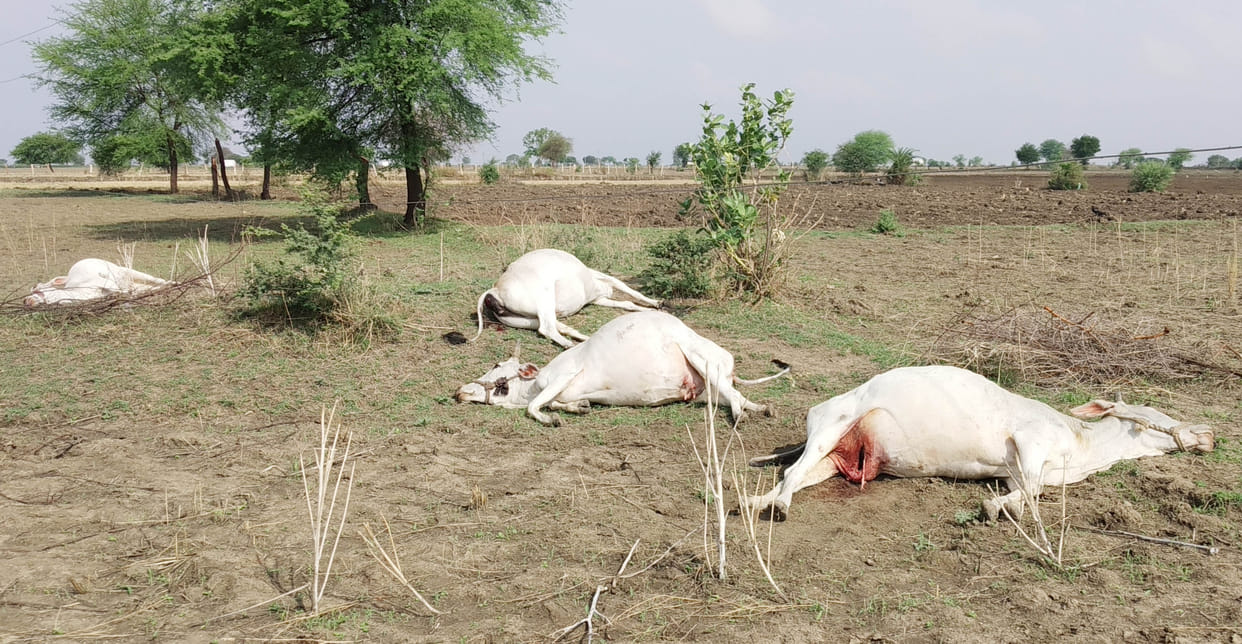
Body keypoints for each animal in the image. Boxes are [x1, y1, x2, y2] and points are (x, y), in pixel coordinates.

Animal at [24, 258, 170, 307]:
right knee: (149, 286)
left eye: (37, 288)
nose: (26, 300)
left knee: (159, 280)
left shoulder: (104, 281)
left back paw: (173, 282)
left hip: (129, 271)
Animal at [453, 248, 660, 348]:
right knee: (547, 329)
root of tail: (494, 291)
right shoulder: (600, 279)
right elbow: (628, 290)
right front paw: (657, 303)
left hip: (526, 319)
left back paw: (585, 339)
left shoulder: (597, 298)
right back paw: (569, 345)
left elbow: (627, 303)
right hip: (544, 300)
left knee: (556, 327)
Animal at [455, 310, 790, 426]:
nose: (460, 391)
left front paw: (551, 419)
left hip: (701, 360)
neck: (529, 386)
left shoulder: (563, 375)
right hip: (705, 390)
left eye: (498, 368)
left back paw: (740, 416)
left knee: (734, 397)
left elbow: (534, 407)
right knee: (738, 395)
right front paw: (578, 409)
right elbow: (562, 404)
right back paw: (763, 409)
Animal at [745, 365, 1213, 522]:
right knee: (793, 471)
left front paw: (1000, 505)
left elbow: (1027, 490)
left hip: (836, 455)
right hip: (831, 425)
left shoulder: (1017, 472)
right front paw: (993, 508)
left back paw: (757, 502)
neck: (1081, 449)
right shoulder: (1028, 440)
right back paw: (778, 507)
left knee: (794, 473)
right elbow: (1031, 491)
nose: (1208, 434)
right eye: (1158, 417)